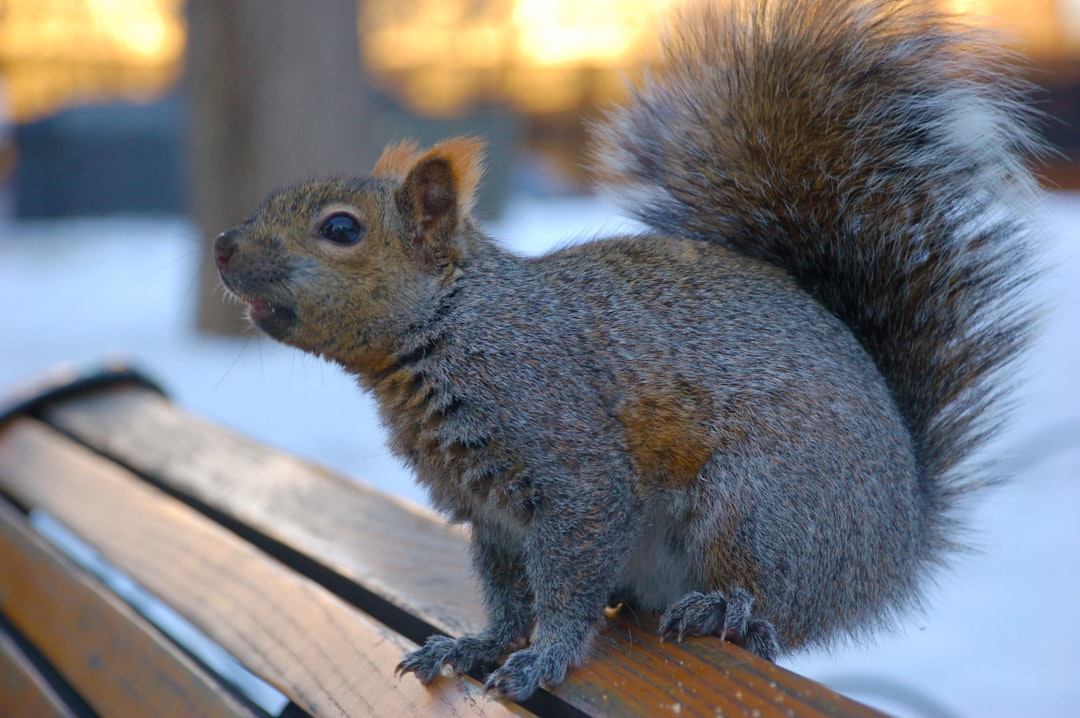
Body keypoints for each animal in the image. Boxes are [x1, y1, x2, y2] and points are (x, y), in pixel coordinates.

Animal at [212, 0, 1045, 703]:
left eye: (341, 230)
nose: (221, 246)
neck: (451, 328)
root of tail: (903, 538)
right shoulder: (489, 512)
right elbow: (506, 593)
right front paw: (477, 644)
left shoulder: (568, 462)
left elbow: (565, 575)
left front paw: (547, 655)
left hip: (766, 509)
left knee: (775, 610)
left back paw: (725, 610)